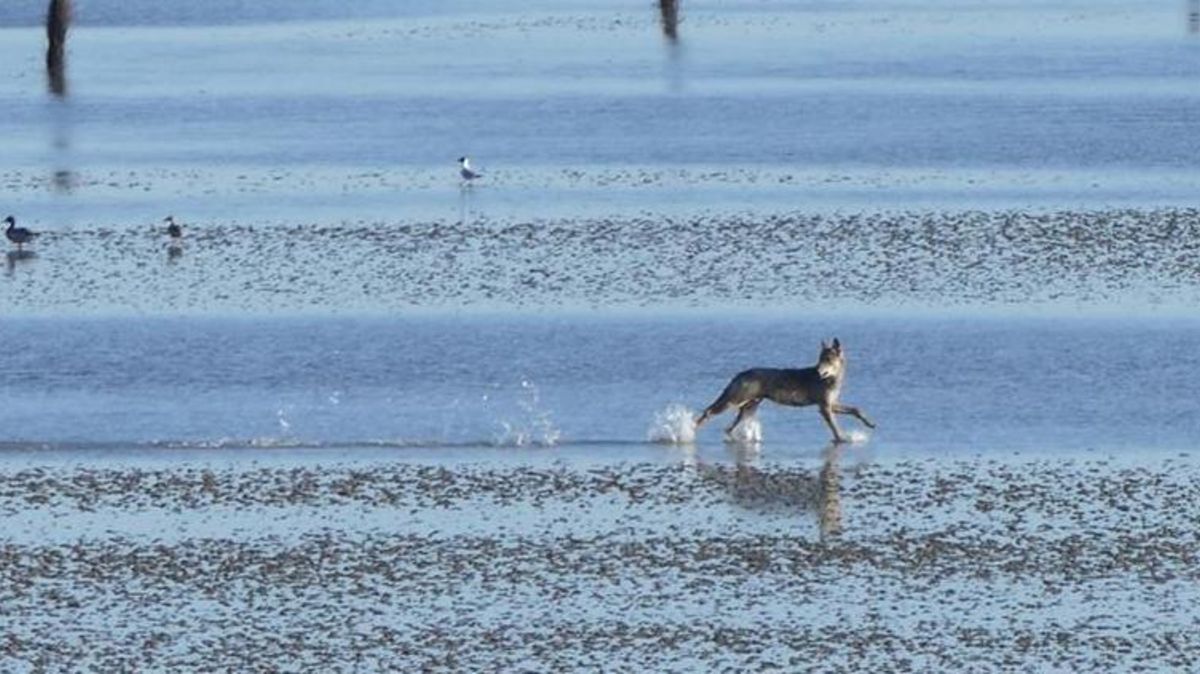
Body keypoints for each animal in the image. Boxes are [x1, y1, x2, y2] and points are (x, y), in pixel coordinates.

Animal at [694, 338, 875, 443]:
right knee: (707, 413)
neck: (830, 380)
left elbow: (856, 410)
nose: (818, 371)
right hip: (734, 401)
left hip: (749, 406)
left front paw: (870, 423)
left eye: (829, 360)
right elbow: (835, 427)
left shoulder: (832, 405)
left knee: (729, 427)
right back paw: (691, 431)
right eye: (820, 359)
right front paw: (842, 438)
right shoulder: (824, 408)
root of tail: (741, 374)